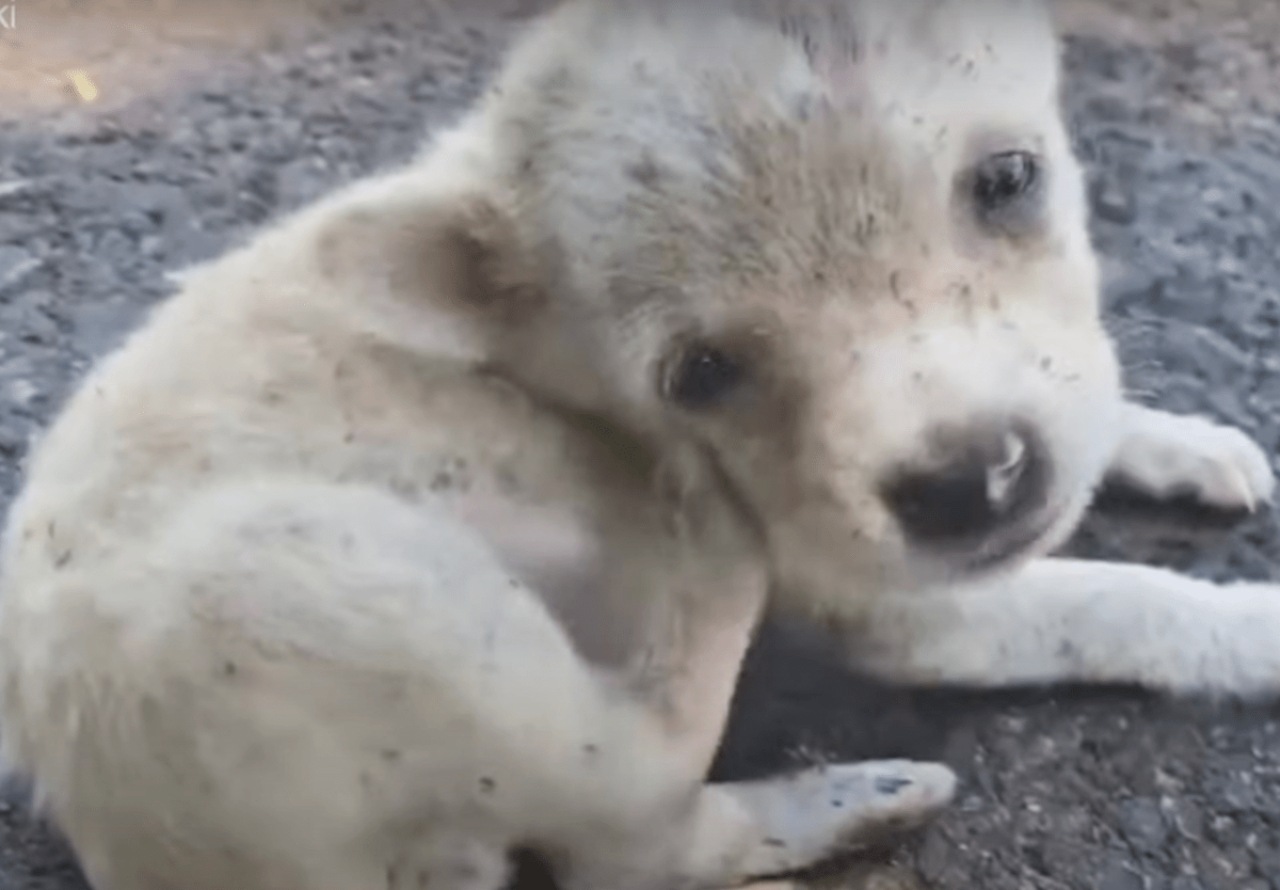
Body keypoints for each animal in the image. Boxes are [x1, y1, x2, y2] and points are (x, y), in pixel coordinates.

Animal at [2, 1, 1280, 890]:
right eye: (697, 374)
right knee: (635, 819)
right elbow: (1113, 598)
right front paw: (1251, 626)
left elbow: (1086, 405)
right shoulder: (886, 593)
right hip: (332, 584)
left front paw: (1186, 443)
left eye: (1008, 178)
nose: (971, 484)